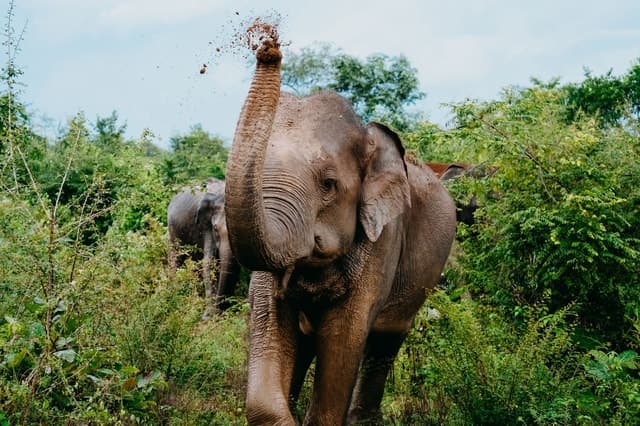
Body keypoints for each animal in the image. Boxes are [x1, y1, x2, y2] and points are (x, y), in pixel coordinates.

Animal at [167, 178, 240, 318]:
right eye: (215, 229)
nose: (219, 310)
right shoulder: (205, 226)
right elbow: (209, 263)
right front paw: (209, 316)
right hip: (173, 231)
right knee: (176, 258)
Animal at [223, 33, 456, 425]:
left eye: (328, 184)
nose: (269, 47)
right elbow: (269, 319)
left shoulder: (384, 238)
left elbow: (343, 336)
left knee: (384, 342)